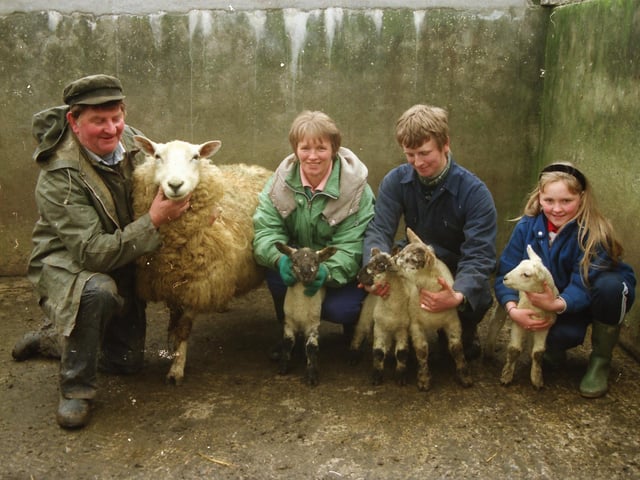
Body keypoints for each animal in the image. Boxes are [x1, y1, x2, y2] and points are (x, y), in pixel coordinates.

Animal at [132, 135, 272, 385]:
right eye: (157, 156)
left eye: (195, 156)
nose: (175, 185)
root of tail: (256, 167)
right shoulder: (173, 281)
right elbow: (174, 322)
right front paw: (174, 349)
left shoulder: (197, 283)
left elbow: (184, 327)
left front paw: (176, 370)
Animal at [274, 242, 337, 386]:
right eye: (294, 261)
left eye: (316, 261)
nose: (307, 274)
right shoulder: (288, 323)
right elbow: (287, 342)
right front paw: (283, 367)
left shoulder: (313, 326)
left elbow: (311, 347)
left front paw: (312, 376)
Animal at [349, 248, 411, 386]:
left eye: (381, 266)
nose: (358, 276)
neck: (393, 306)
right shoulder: (379, 328)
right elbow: (378, 352)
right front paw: (377, 376)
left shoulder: (402, 330)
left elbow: (401, 353)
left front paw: (400, 376)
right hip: (366, 317)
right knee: (358, 334)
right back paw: (353, 356)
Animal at [395, 228, 472, 391]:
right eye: (400, 254)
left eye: (410, 260)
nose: (390, 261)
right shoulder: (415, 325)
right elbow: (421, 350)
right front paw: (424, 380)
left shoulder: (453, 322)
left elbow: (456, 348)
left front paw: (465, 377)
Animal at [499, 244, 558, 389]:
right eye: (518, 264)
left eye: (526, 274)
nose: (505, 278)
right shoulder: (519, 320)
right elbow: (514, 349)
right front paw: (506, 376)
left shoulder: (545, 326)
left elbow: (538, 352)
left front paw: (537, 378)